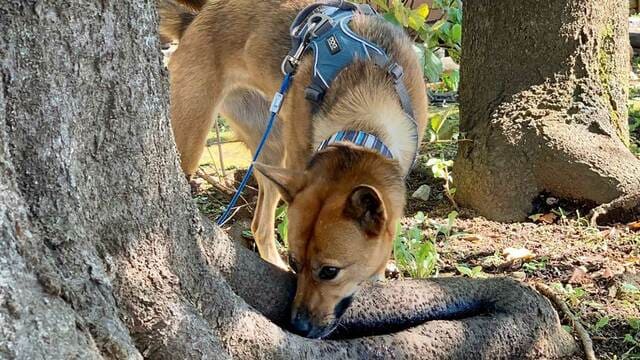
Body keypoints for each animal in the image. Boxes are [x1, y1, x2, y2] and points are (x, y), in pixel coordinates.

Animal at [160, 0, 430, 338]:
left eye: (330, 272)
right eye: (295, 262)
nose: (298, 326)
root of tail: (195, 19)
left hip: (271, 148)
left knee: (260, 225)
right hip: (196, 141)